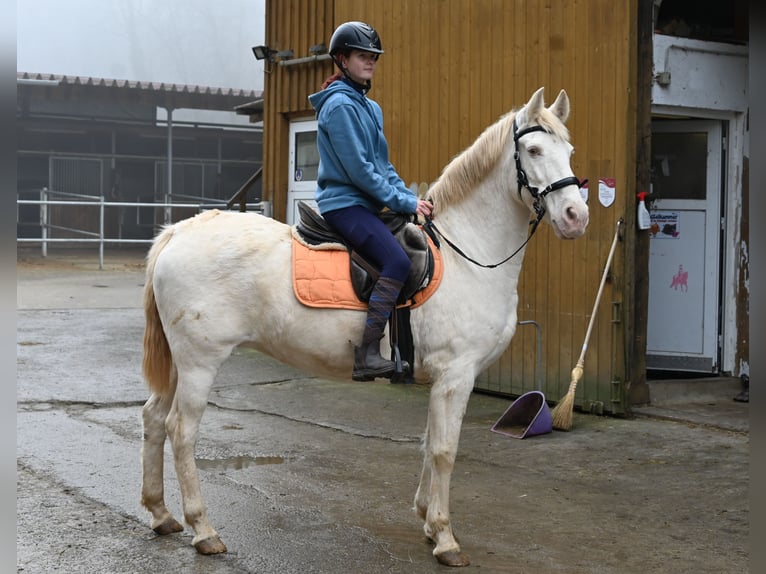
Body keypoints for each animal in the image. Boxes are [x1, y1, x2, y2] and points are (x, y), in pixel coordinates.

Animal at [141, 85, 592, 568]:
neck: (465, 255)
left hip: (177, 362)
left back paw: (161, 514)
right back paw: (203, 530)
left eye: (570, 152)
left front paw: (427, 520)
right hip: (199, 361)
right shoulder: (456, 375)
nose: (575, 216)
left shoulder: (439, 380)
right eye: (534, 150)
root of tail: (178, 232)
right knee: (181, 431)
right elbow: (445, 451)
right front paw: (446, 537)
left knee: (153, 418)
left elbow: (427, 443)